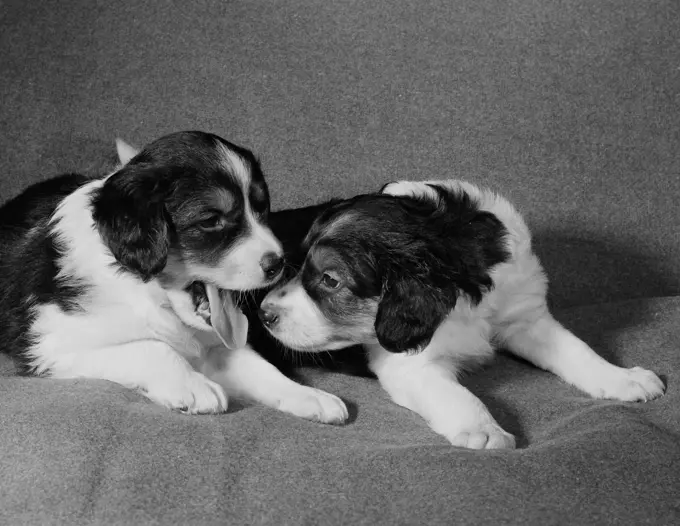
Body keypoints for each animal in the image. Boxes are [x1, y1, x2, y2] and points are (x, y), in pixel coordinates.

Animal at [0, 132, 348, 424]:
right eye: (211, 220)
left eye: (261, 210)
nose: (278, 263)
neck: (145, 290)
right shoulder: (50, 345)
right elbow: (151, 346)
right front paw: (195, 386)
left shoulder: (217, 344)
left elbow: (260, 366)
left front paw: (310, 396)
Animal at [258, 180, 668, 450]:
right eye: (295, 263)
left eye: (329, 279)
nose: (265, 314)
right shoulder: (411, 365)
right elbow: (458, 394)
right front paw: (483, 430)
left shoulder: (526, 316)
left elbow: (578, 350)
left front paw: (623, 379)